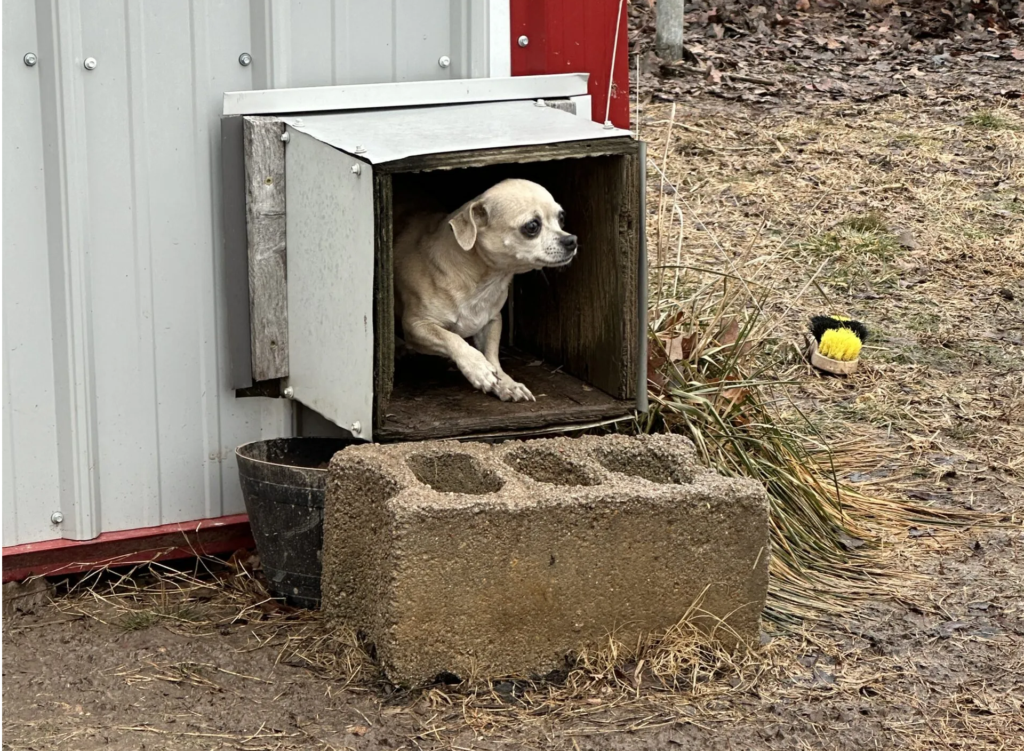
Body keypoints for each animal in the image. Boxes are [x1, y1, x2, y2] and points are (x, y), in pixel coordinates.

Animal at [395, 178, 581, 401]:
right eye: (532, 226)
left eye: (561, 218)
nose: (571, 240)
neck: (485, 282)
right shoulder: (416, 325)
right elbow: (452, 338)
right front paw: (478, 368)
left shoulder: (491, 321)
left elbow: (492, 356)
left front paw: (506, 384)